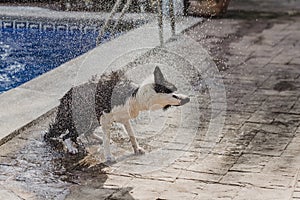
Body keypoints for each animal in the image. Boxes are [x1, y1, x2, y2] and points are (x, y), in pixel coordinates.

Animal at [44, 67, 190, 162]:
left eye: (176, 89)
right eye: (174, 94)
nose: (188, 98)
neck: (136, 96)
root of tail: (65, 95)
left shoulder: (124, 119)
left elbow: (132, 135)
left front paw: (137, 149)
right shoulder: (105, 118)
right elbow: (108, 140)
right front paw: (109, 157)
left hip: (92, 118)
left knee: (86, 133)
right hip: (83, 118)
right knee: (66, 135)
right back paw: (71, 148)